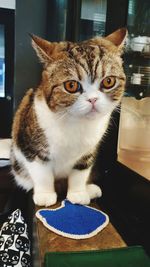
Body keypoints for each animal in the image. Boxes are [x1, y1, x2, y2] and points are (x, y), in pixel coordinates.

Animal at [10, 27, 127, 207]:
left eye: (108, 82)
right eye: (71, 85)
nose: (93, 99)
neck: (75, 122)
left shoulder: (88, 152)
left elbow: (80, 171)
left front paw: (78, 193)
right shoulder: (30, 147)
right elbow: (41, 172)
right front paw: (45, 194)